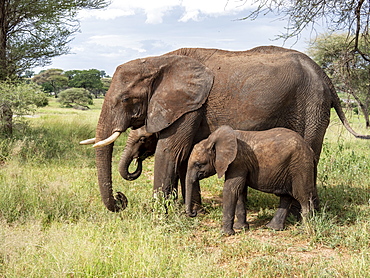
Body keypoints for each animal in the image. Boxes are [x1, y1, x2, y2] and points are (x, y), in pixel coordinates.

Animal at [81, 45, 370, 212]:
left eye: (125, 100)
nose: (121, 200)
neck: (158, 61)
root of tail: (327, 78)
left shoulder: (191, 105)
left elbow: (170, 151)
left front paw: (158, 215)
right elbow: (185, 156)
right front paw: (192, 211)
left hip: (312, 105)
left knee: (309, 153)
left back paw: (297, 214)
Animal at [185, 125, 318, 235]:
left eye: (198, 164)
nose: (193, 213)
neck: (212, 140)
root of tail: (310, 150)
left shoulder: (238, 161)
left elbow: (231, 189)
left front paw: (225, 233)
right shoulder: (241, 164)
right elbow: (239, 191)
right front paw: (241, 228)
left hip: (300, 166)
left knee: (303, 197)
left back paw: (304, 230)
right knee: (286, 197)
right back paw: (273, 228)